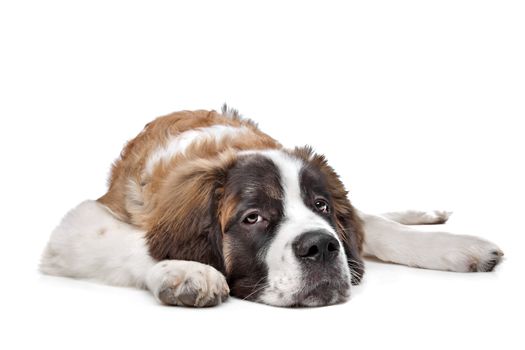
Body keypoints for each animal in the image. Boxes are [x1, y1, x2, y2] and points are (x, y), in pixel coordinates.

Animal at [41, 106, 504, 306]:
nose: (322, 246)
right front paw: (186, 271)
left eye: (321, 206)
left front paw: (458, 245)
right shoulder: (80, 224)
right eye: (253, 218)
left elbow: (374, 227)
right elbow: (135, 243)